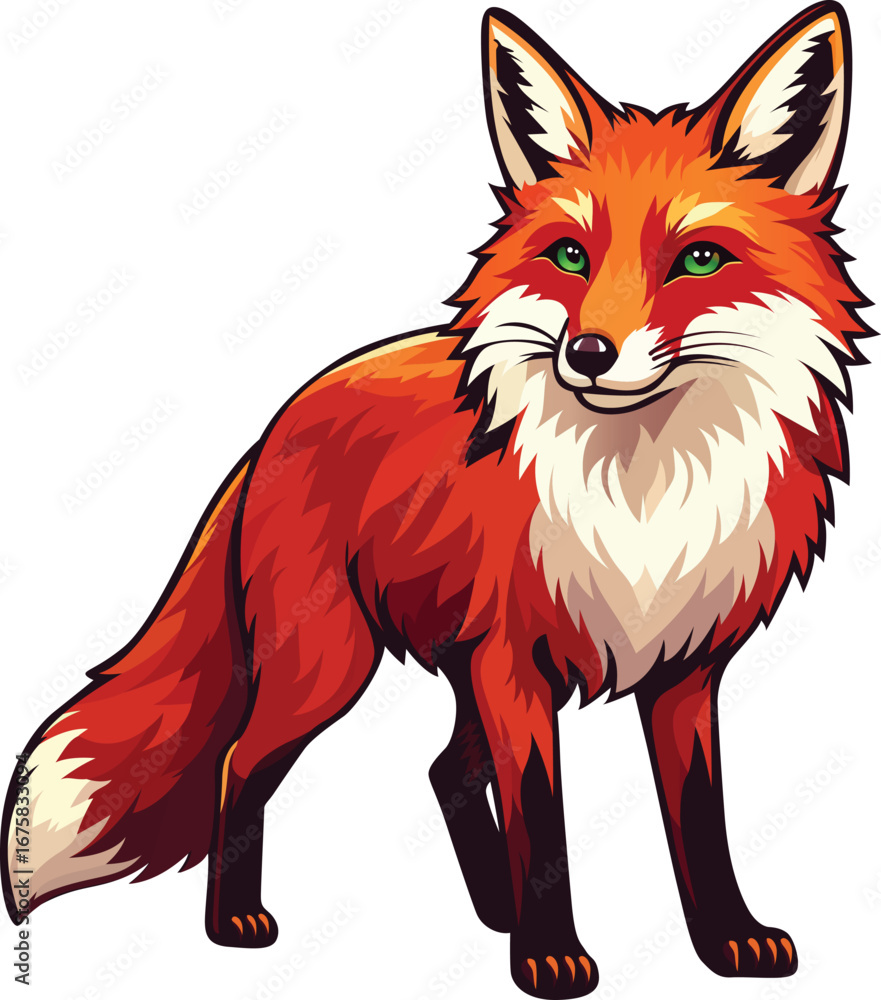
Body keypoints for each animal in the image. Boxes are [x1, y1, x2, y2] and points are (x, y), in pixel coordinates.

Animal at [3, 4, 872, 998]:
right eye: (569, 255)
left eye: (697, 259)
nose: (588, 353)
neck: (643, 491)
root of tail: (280, 417)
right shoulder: (514, 666)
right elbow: (540, 812)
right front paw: (549, 954)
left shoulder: (682, 671)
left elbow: (699, 818)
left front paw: (725, 939)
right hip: (327, 664)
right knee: (239, 762)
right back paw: (235, 923)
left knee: (444, 770)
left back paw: (491, 912)